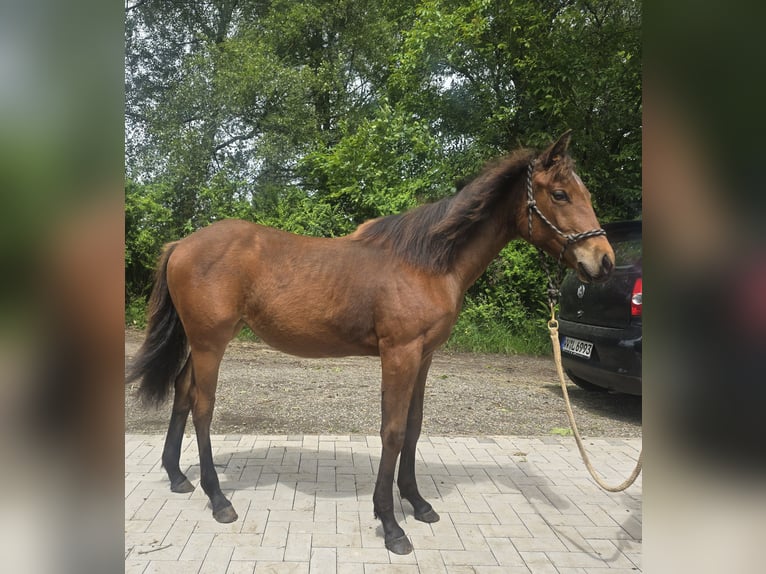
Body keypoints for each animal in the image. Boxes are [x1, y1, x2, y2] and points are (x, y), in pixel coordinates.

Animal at [127, 133, 616, 556]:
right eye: (560, 195)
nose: (604, 262)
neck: (427, 261)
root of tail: (182, 244)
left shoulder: (424, 356)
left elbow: (414, 427)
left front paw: (418, 503)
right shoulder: (399, 353)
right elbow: (393, 431)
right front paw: (391, 524)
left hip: (202, 342)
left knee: (183, 391)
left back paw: (178, 477)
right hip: (211, 342)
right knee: (202, 406)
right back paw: (218, 500)